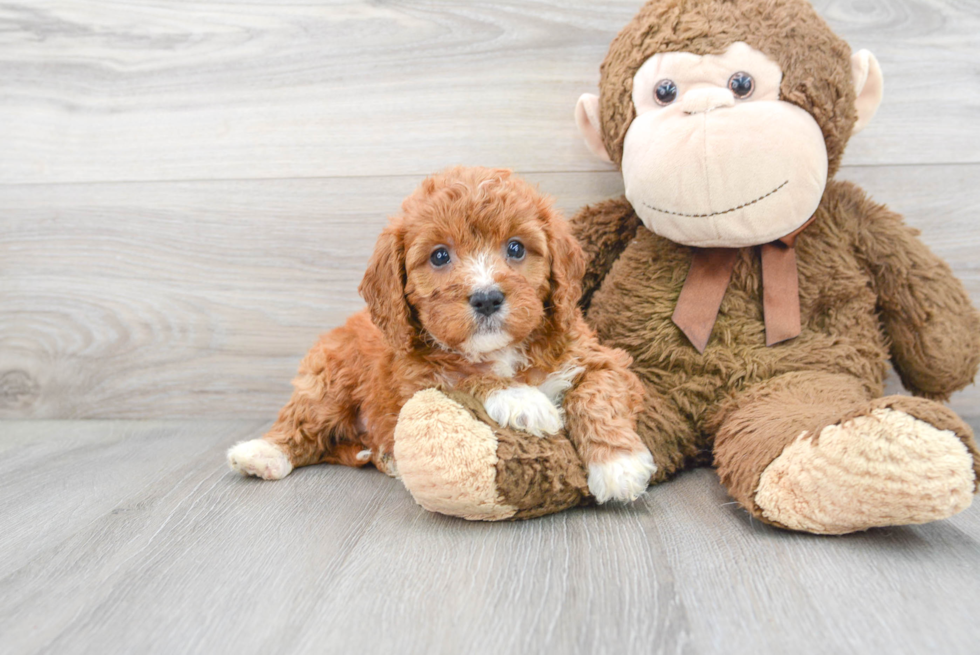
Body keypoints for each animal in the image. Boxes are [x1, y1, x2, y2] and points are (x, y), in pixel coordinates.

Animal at [229, 165, 656, 502]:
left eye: (516, 249)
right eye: (439, 256)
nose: (486, 298)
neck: (502, 351)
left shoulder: (601, 360)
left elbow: (596, 395)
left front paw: (618, 465)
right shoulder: (416, 380)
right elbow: (465, 377)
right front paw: (522, 400)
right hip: (328, 381)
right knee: (302, 423)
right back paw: (261, 453)